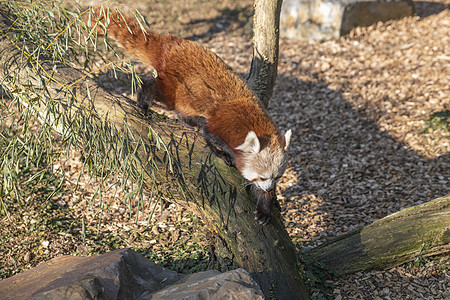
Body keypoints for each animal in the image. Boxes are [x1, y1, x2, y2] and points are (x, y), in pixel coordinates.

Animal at [89, 7, 292, 224]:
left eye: (276, 177)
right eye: (262, 177)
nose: (269, 187)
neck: (252, 121)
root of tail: (171, 42)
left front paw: (265, 207)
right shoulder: (219, 124)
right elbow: (209, 136)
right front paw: (224, 155)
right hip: (173, 86)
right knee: (155, 89)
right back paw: (143, 103)